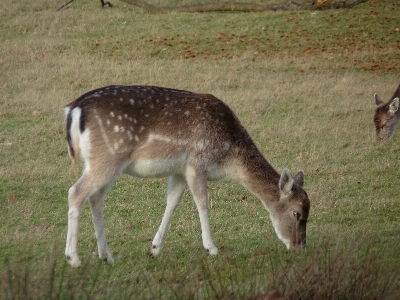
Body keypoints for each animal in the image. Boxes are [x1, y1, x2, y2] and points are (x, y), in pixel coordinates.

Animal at [64, 85, 310, 268]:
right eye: (296, 213)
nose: (299, 247)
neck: (228, 157)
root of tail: (74, 108)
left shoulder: (180, 171)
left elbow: (172, 202)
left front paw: (155, 248)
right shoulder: (196, 163)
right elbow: (202, 202)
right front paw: (211, 248)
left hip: (101, 162)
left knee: (95, 198)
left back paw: (107, 256)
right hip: (107, 158)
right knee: (76, 192)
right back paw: (73, 258)